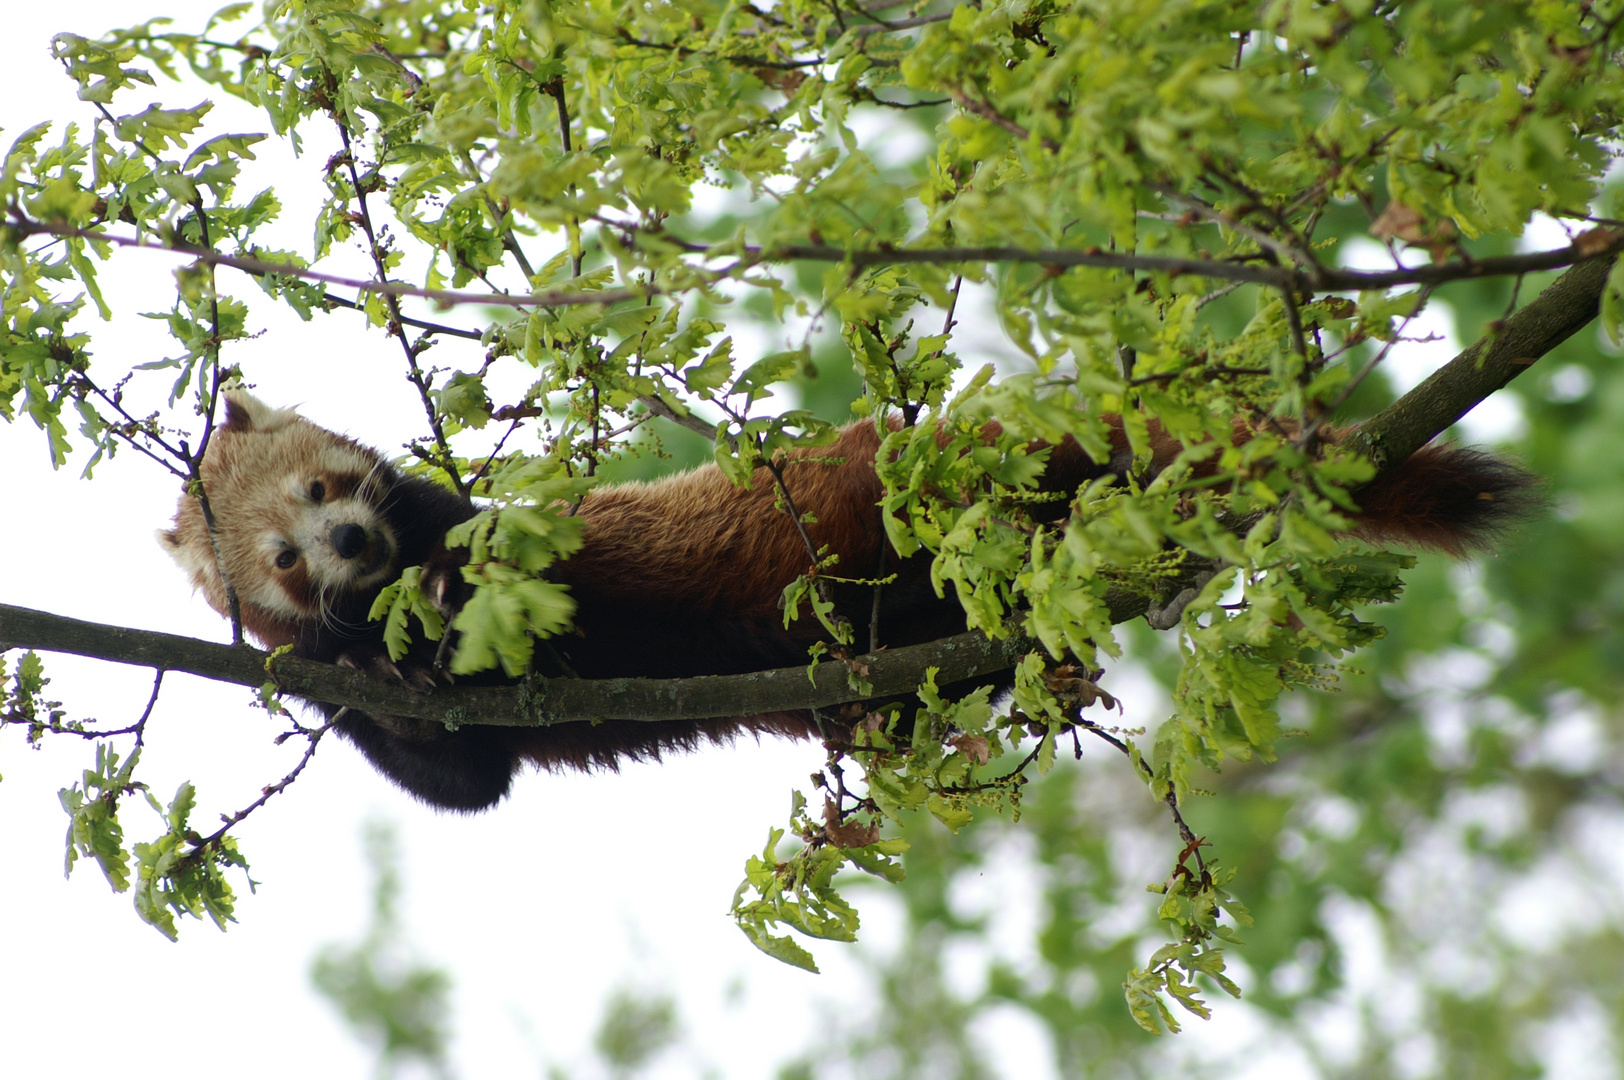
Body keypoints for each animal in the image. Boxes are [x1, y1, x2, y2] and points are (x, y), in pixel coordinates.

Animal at [161, 394, 1533, 808]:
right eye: (283, 557)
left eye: (330, 485)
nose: (347, 538)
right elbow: (460, 776)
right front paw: (363, 679)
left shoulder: (490, 534)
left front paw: (436, 615)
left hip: (908, 500)